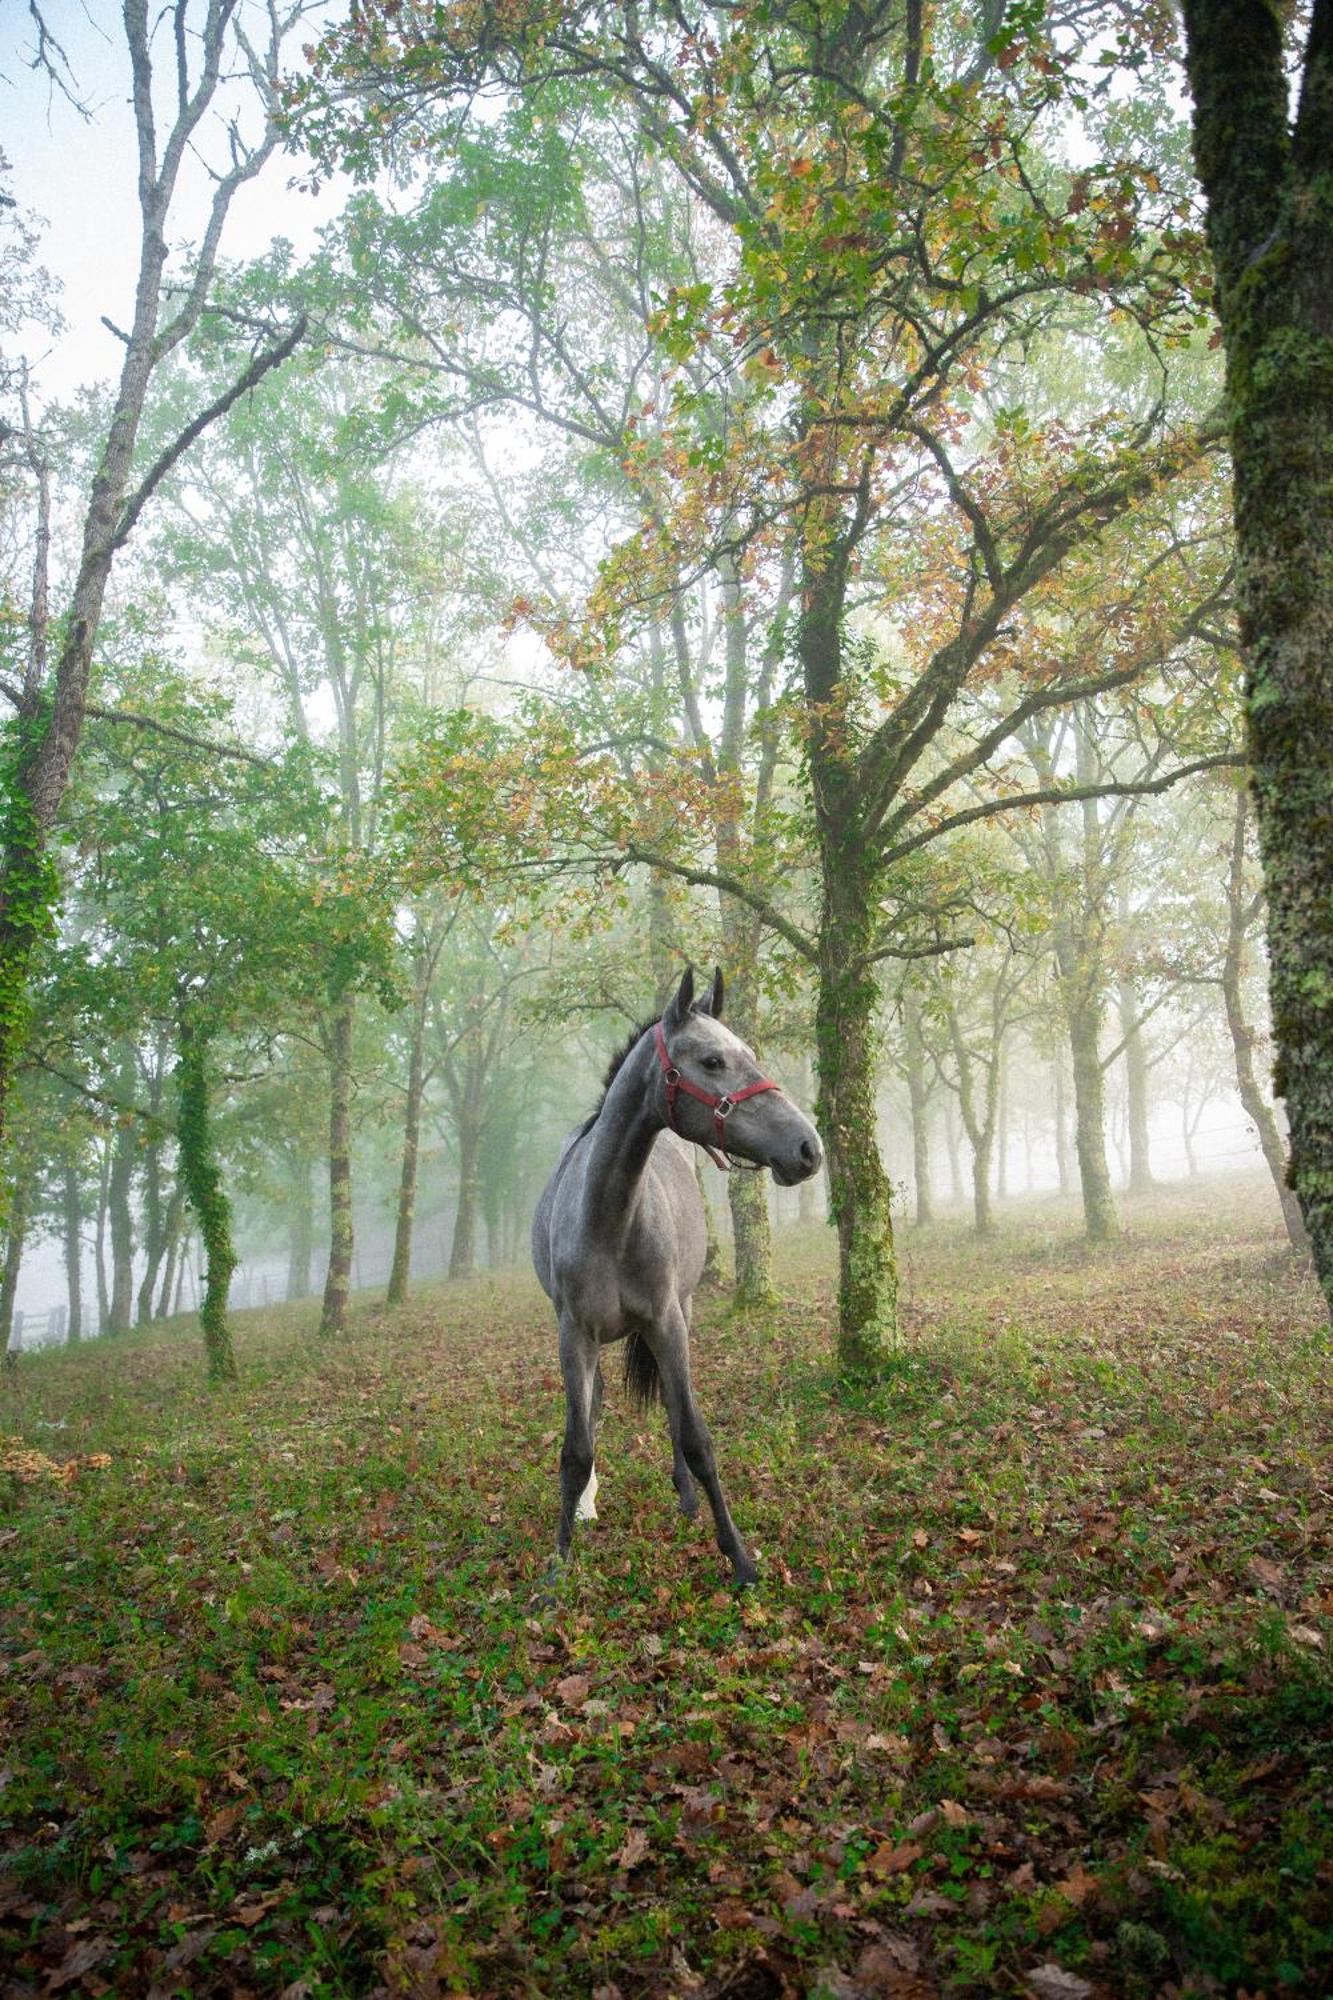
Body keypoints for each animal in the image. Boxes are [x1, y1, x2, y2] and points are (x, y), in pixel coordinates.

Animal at [528, 972, 820, 1592]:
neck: (609, 1217)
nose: (809, 1149)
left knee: (666, 1402)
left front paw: (739, 1557)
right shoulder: (574, 1334)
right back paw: (588, 1504)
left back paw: (684, 1495)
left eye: (750, 1054)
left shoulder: (666, 1323)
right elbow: (575, 1448)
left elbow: (695, 1435)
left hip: (681, 1313)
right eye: (712, 1060)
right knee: (596, 1403)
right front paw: (558, 1564)